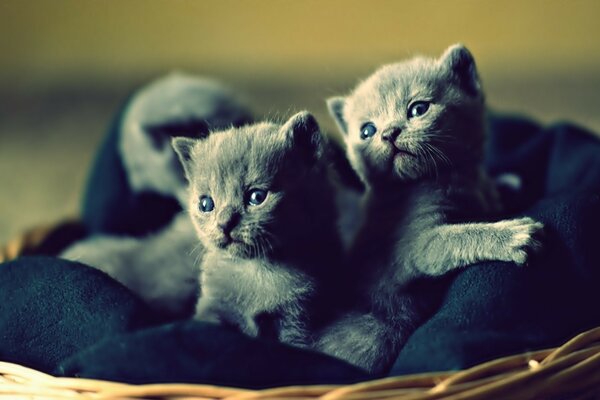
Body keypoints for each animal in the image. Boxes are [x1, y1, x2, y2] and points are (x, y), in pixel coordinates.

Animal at [173, 111, 342, 346]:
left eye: (257, 197)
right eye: (206, 204)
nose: (224, 223)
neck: (256, 270)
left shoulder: (298, 321)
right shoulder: (212, 306)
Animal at [314, 45, 544, 374]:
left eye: (418, 109)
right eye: (367, 130)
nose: (389, 133)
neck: (452, 178)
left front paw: (506, 185)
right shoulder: (414, 244)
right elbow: (455, 237)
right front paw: (511, 235)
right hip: (379, 334)